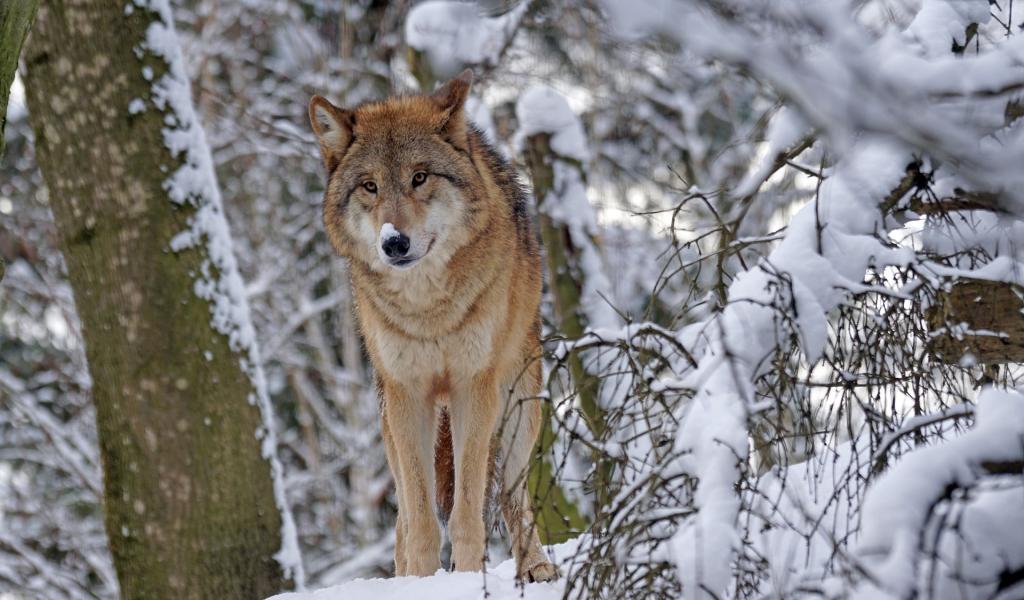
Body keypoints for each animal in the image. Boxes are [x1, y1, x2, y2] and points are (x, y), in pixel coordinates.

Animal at [305, 70, 557, 577]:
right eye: (370, 186)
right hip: (389, 426)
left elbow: (466, 512)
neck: (428, 311)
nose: (394, 243)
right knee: (402, 519)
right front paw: (420, 580)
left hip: (520, 408)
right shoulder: (408, 395)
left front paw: (469, 575)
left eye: (419, 177)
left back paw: (535, 568)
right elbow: (421, 522)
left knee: (512, 496)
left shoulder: (472, 387)